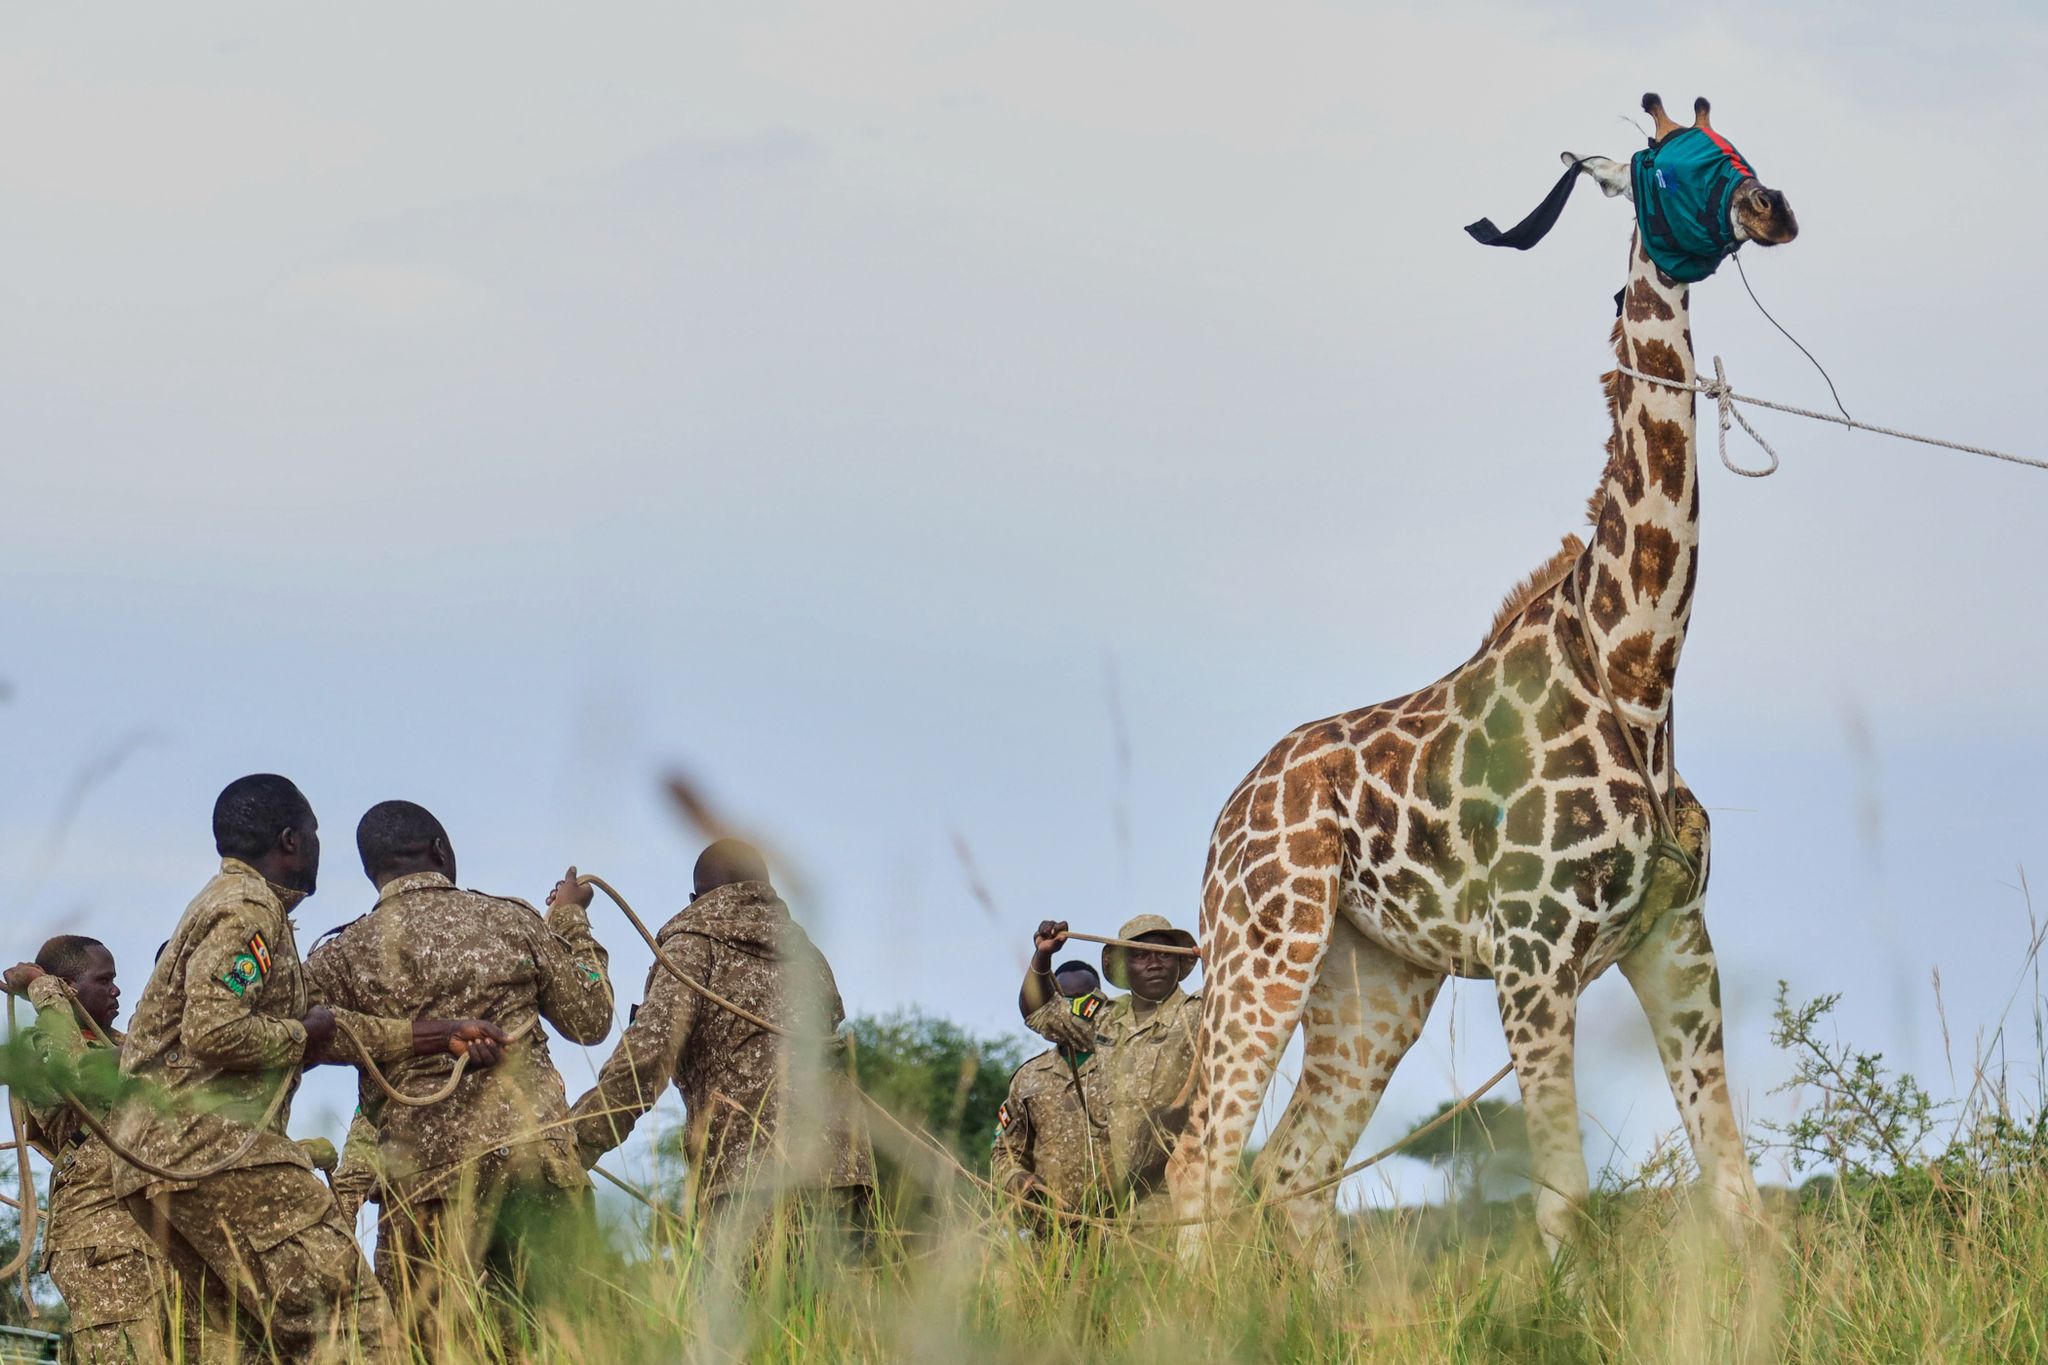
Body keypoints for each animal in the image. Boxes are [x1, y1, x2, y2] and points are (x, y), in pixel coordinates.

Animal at [1166, 95, 1800, 1260]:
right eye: (1670, 159)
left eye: (1735, 142)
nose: (1770, 208)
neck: (1638, 666)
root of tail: (1232, 807)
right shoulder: (1532, 954)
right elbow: (1563, 1194)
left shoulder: (1677, 945)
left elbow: (1735, 1194)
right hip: (1263, 939)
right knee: (1207, 1156)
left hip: (1375, 975)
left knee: (1296, 1169)